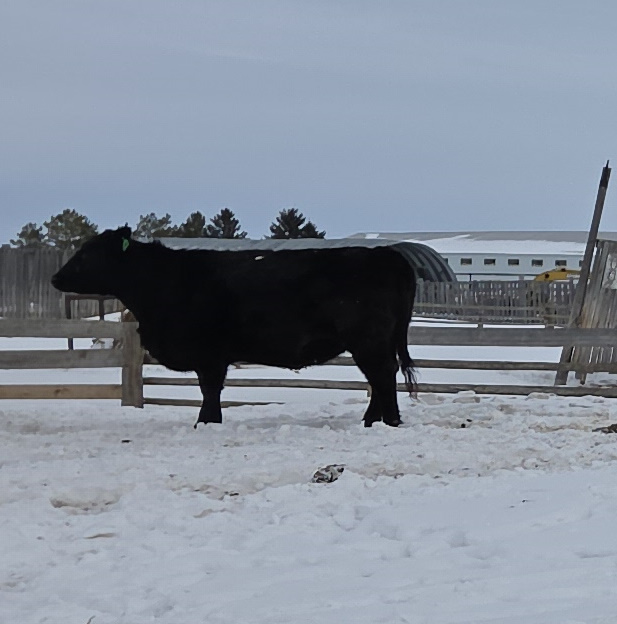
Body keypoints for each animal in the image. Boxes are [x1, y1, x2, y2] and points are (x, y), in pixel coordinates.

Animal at [52, 226, 417, 428]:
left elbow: (210, 390)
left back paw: (389, 421)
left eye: (88, 254)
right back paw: (371, 420)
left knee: (382, 375)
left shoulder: (209, 354)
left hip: (368, 339)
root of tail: (388, 255)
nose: (56, 278)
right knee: (379, 377)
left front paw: (206, 421)